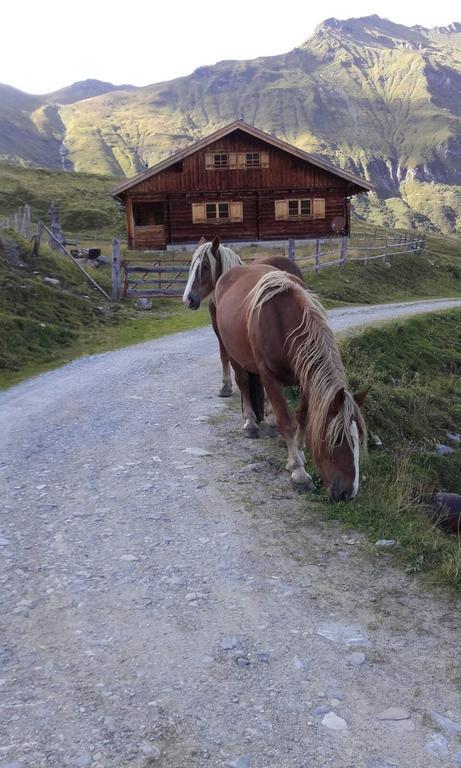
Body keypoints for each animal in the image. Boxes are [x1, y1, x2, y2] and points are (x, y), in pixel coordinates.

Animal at [183, 236, 306, 396]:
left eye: (204, 266)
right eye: (192, 266)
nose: (188, 299)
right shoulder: (218, 329)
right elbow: (224, 355)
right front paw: (226, 386)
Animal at [214, 264, 368, 500]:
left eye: (359, 438)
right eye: (336, 440)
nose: (348, 494)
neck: (282, 322)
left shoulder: (304, 377)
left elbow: (302, 417)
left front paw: (299, 452)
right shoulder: (269, 376)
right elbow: (287, 422)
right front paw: (299, 472)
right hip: (234, 355)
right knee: (242, 383)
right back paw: (250, 424)